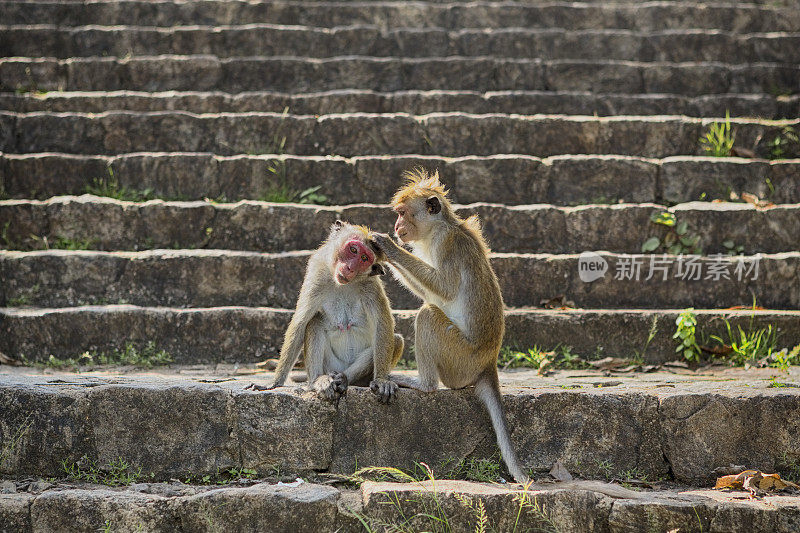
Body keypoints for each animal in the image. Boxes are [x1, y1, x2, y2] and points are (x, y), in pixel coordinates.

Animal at [245, 220, 406, 404]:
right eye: (353, 250)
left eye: (364, 259)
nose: (350, 268)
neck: (344, 284)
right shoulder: (317, 273)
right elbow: (300, 322)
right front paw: (274, 382)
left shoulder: (371, 287)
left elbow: (382, 324)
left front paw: (381, 380)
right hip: (329, 365)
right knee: (313, 323)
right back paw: (319, 381)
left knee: (395, 339)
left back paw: (343, 379)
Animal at [368, 169, 532, 482]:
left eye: (403, 213)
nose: (396, 226)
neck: (436, 229)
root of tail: (488, 363)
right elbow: (431, 291)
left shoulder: (446, 244)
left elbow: (443, 289)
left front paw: (387, 247)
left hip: (459, 358)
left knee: (428, 315)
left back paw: (424, 385)